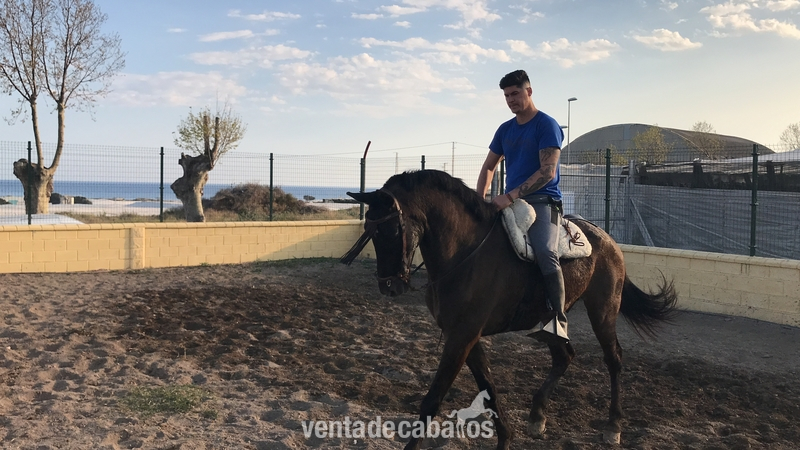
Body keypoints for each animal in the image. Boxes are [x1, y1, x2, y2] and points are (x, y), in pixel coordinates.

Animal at [341, 169, 677, 450]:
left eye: (392, 231)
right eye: (369, 229)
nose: (389, 286)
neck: (464, 253)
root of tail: (607, 239)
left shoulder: (462, 336)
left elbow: (433, 399)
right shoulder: (462, 334)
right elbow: (488, 386)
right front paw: (506, 438)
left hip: (603, 311)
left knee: (614, 359)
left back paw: (613, 426)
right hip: (552, 320)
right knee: (564, 355)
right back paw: (538, 416)